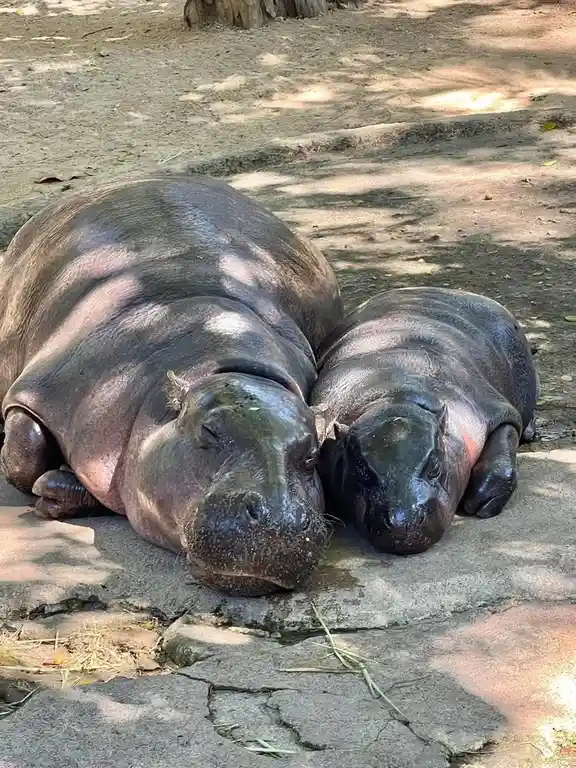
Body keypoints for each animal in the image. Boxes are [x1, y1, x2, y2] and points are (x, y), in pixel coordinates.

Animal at [0, 174, 344, 596]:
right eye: (207, 431)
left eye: (312, 456)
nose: (277, 520)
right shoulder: (47, 386)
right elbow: (24, 453)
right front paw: (47, 490)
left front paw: (55, 489)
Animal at [311, 287, 539, 554]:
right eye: (362, 471)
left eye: (435, 467)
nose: (402, 522)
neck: (394, 398)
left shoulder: (490, 407)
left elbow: (506, 439)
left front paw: (480, 502)